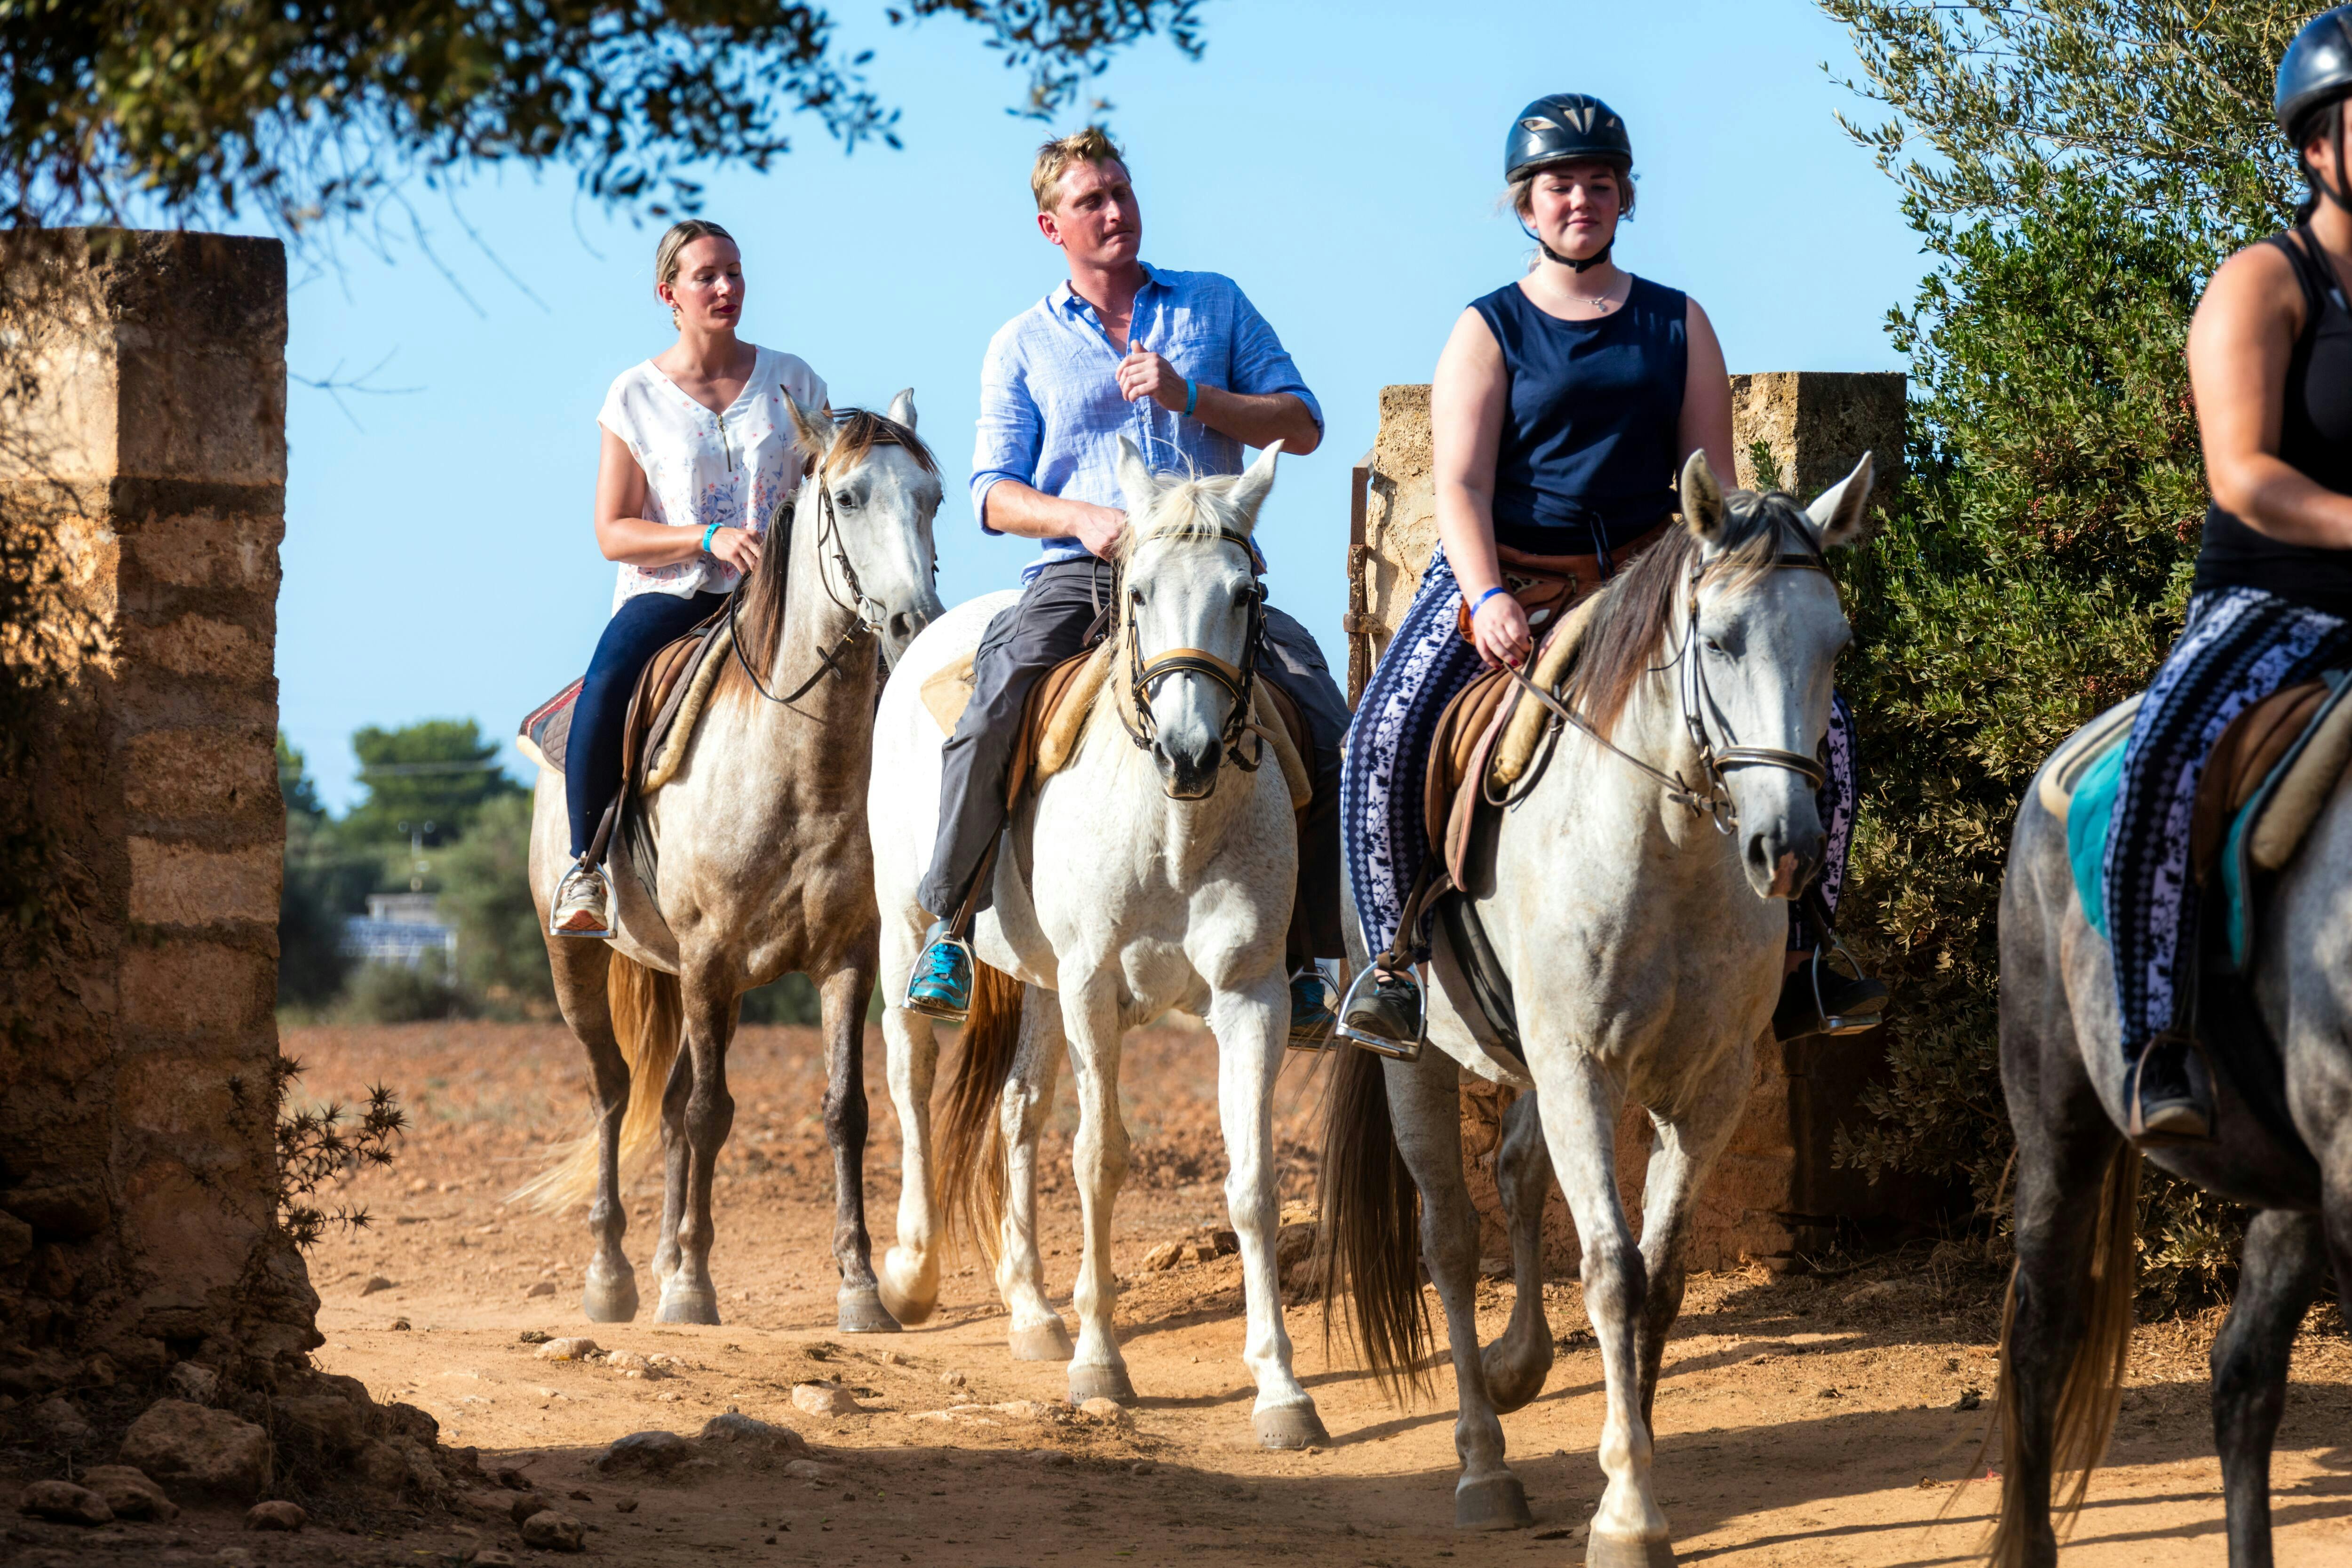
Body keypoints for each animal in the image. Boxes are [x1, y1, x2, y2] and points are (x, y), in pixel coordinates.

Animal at [527, 395, 946, 1335]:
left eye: (933, 497)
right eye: (850, 496)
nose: (915, 622)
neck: (796, 763)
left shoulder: (841, 958)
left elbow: (842, 1110)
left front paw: (859, 1285)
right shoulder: (711, 956)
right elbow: (710, 1112)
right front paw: (690, 1289)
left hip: (692, 980)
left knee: (668, 1106)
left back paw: (663, 1253)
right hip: (583, 961)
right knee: (614, 1092)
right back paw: (614, 1273)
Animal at [870, 435, 1345, 1457]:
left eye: (1244, 591)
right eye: (1140, 592)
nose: (1188, 752)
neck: (1173, 826)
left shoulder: (1251, 996)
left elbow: (1252, 1181)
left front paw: (1282, 1388)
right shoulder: (1095, 987)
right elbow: (1099, 1157)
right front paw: (1101, 1361)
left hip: (1043, 984)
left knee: (1017, 1110)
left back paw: (1031, 1310)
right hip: (904, 930)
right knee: (912, 1079)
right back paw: (910, 1275)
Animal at [1327, 446, 1872, 1561]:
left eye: (1837, 645)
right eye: (1720, 639)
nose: (1788, 850)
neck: (1667, 844)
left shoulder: (1707, 1088)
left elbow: (1657, 1280)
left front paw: (1638, 1468)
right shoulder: (1581, 1065)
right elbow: (1614, 1271)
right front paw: (1626, 1511)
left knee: (1518, 1169)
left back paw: (1517, 1366)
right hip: (1422, 1060)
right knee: (1450, 1235)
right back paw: (1483, 1464)